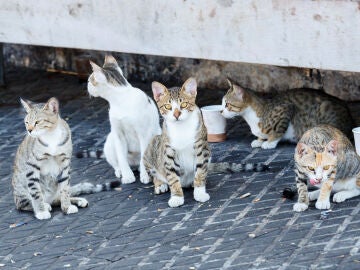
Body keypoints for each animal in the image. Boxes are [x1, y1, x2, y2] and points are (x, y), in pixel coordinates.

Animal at [86, 54, 161, 185]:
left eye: (90, 80)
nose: (87, 84)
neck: (120, 100)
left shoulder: (143, 133)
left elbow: (144, 156)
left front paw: (145, 176)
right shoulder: (118, 134)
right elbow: (121, 157)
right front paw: (127, 176)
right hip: (110, 142)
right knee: (116, 163)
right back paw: (120, 171)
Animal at [142, 77, 268, 208]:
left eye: (184, 104)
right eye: (167, 106)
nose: (176, 114)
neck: (181, 128)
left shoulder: (201, 148)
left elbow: (200, 172)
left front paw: (200, 193)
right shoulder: (169, 152)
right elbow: (172, 176)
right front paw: (176, 197)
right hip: (151, 148)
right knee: (155, 173)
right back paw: (160, 184)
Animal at [221, 79, 352, 149]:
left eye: (227, 104)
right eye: (222, 104)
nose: (221, 111)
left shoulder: (285, 109)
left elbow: (278, 130)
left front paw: (270, 143)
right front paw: (259, 140)